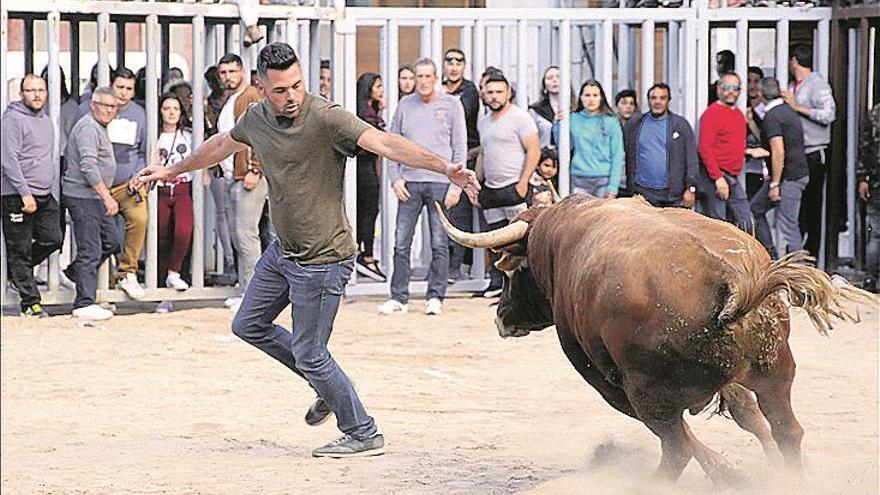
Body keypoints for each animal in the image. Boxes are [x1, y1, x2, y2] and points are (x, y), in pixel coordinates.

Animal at [436, 196, 868, 486]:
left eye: (509, 273)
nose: (500, 318)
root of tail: (728, 279)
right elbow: (746, 414)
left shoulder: (607, 381)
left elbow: (689, 437)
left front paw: (730, 473)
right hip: (776, 372)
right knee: (785, 429)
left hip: (645, 392)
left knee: (677, 448)